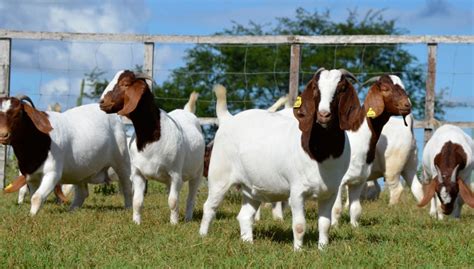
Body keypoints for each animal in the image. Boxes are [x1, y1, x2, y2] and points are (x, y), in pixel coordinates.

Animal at [0, 96, 132, 214]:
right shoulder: (31, 177)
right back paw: (71, 210)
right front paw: (33, 215)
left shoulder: (52, 173)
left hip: (121, 160)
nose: (3, 135)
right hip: (81, 169)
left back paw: (128, 208)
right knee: (82, 192)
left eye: (18, 113)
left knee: (127, 185)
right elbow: (33, 195)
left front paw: (31, 217)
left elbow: (37, 197)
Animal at [99, 69, 205, 224]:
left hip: (197, 172)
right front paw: (136, 223)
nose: (102, 102)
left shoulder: (175, 174)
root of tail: (187, 112)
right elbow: (137, 201)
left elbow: (173, 201)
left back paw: (187, 219)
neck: (150, 138)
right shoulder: (137, 173)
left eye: (125, 83)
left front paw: (174, 224)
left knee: (191, 197)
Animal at [199, 67, 360, 249]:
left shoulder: (330, 192)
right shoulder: (297, 191)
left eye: (341, 89)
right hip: (219, 176)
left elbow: (325, 224)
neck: (322, 154)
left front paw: (322, 249)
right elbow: (299, 225)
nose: (323, 114)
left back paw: (248, 242)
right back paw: (203, 236)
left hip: (250, 189)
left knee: (244, 215)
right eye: (315, 89)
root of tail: (228, 119)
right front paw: (298, 250)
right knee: (209, 206)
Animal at [332, 74, 412, 226]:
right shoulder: (338, 181)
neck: (356, 137)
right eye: (385, 89)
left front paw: (354, 226)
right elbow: (336, 208)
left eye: (403, 88)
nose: (407, 105)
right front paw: (334, 226)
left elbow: (356, 208)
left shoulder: (359, 179)